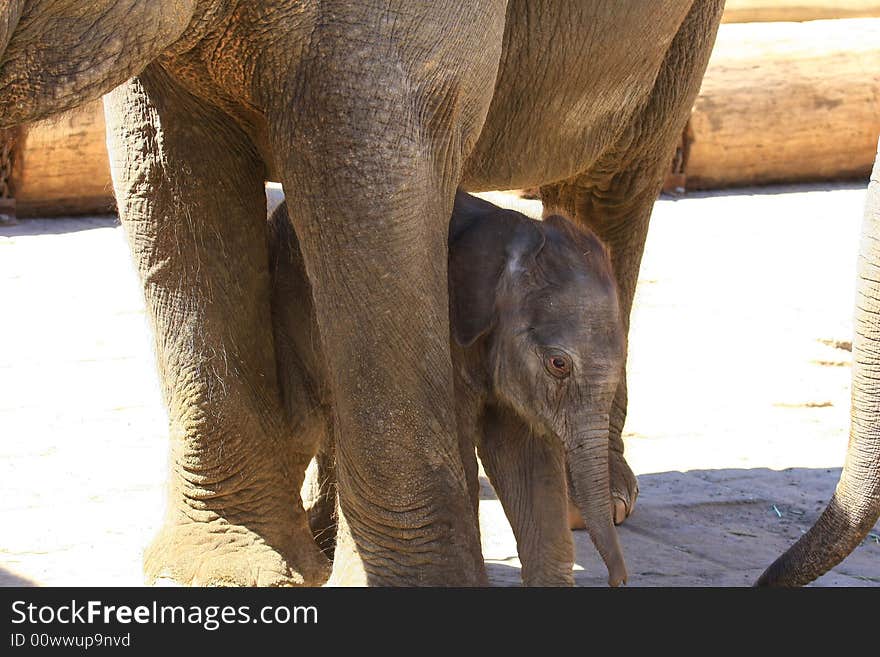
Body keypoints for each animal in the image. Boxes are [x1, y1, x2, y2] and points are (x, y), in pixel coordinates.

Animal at [268, 190, 624, 584]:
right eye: (558, 364)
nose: (617, 579)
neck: (517, 229)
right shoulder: (448, 334)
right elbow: (468, 451)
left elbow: (526, 457)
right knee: (306, 424)